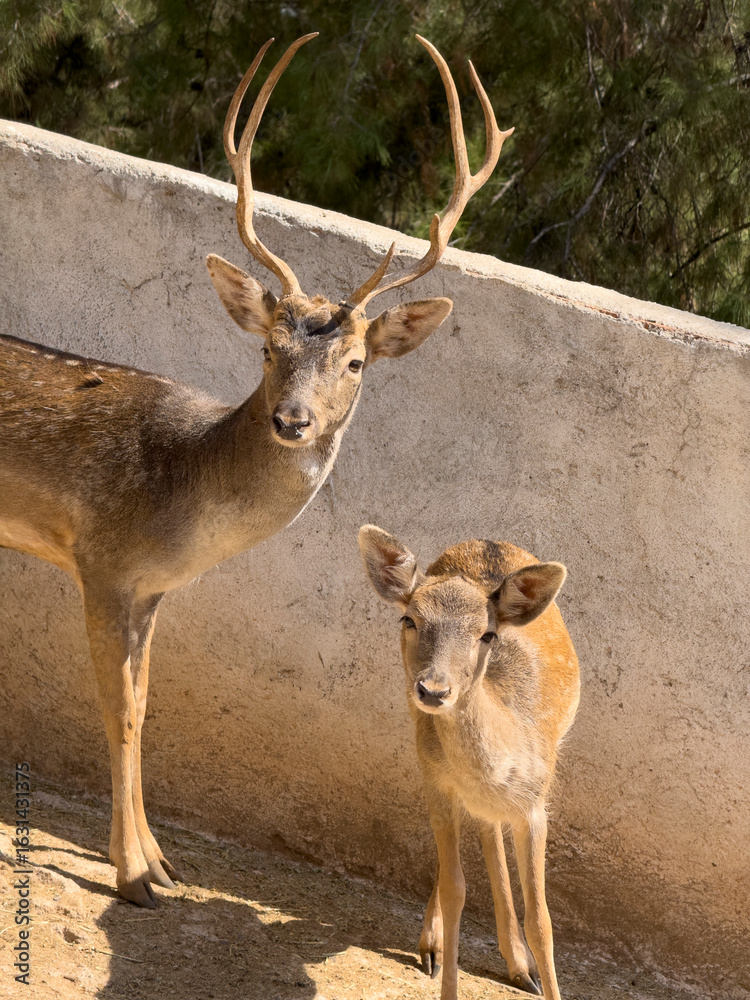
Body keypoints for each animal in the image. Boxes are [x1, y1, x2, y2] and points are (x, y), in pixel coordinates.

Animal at [0, 36, 513, 908]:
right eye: (269, 349)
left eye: (355, 361)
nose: (292, 420)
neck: (177, 502)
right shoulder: (102, 563)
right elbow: (120, 710)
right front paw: (134, 875)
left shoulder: (151, 591)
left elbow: (146, 704)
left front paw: (162, 861)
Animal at [358, 526, 580, 1000]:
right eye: (409, 620)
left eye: (486, 635)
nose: (434, 690)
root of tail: (485, 542)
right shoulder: (437, 784)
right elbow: (455, 889)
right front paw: (442, 960)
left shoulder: (536, 804)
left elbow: (542, 921)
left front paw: (542, 975)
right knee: (475, 837)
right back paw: (439, 949)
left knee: (488, 827)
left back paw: (521, 968)